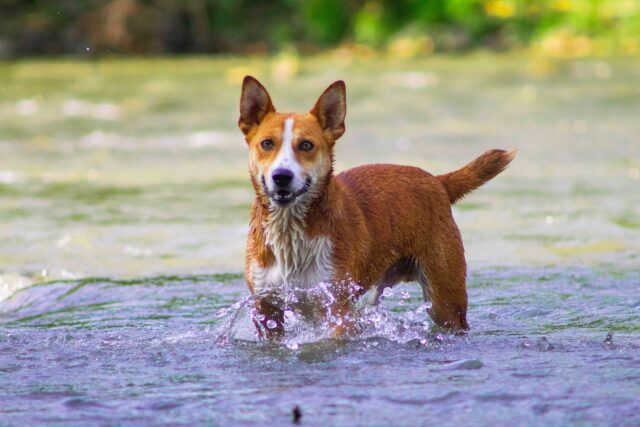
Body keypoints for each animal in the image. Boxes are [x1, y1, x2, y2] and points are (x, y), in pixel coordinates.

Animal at [239, 75, 516, 340]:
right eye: (267, 143)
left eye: (306, 145)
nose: (281, 176)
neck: (291, 233)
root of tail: (438, 181)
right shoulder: (266, 307)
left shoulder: (337, 306)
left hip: (445, 298)